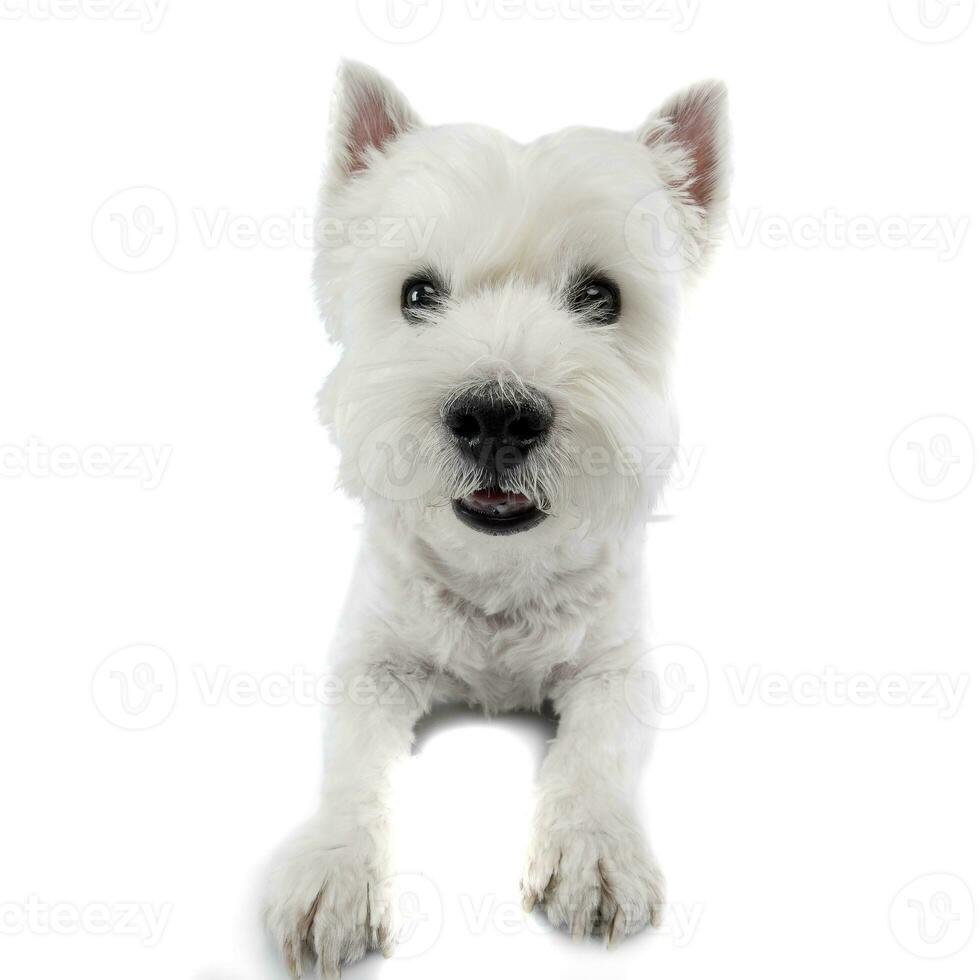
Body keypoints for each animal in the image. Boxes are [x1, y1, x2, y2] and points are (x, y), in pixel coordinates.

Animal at [264, 63, 732, 980]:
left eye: (599, 297)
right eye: (418, 293)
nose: (497, 415)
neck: (498, 576)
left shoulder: (618, 667)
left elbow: (595, 752)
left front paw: (593, 853)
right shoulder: (371, 660)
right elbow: (352, 768)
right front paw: (336, 872)